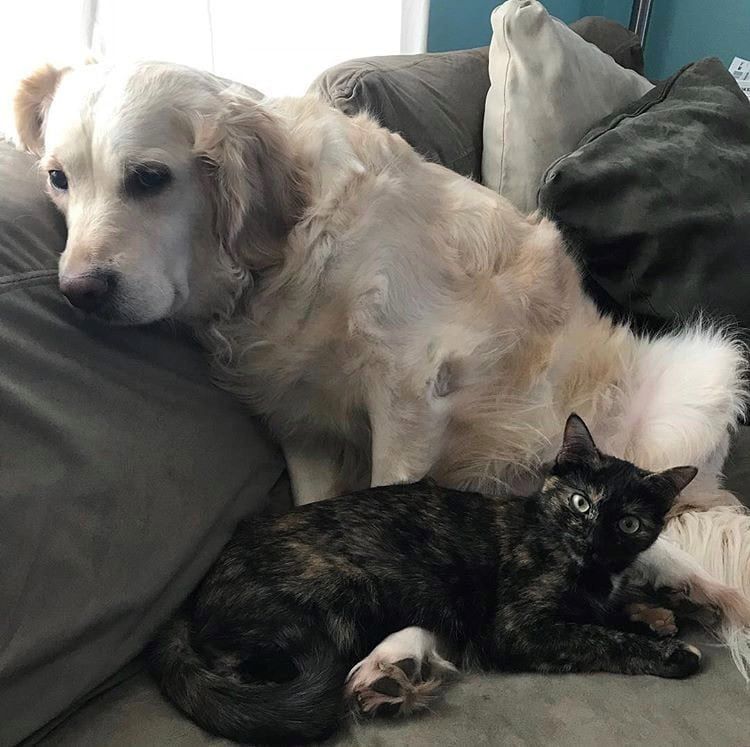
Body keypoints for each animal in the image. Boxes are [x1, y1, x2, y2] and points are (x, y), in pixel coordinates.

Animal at [14, 61, 750, 688]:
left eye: (148, 178)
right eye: (57, 178)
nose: (80, 291)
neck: (281, 261)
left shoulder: (408, 395)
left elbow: (390, 514)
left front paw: (399, 646)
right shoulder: (299, 422)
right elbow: (320, 509)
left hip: (705, 369)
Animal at [149, 414, 700, 745]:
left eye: (628, 524)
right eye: (582, 503)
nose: (594, 541)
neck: (590, 570)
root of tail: (194, 597)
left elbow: (609, 610)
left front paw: (656, 613)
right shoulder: (519, 630)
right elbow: (596, 637)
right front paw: (669, 651)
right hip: (348, 590)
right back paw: (389, 684)